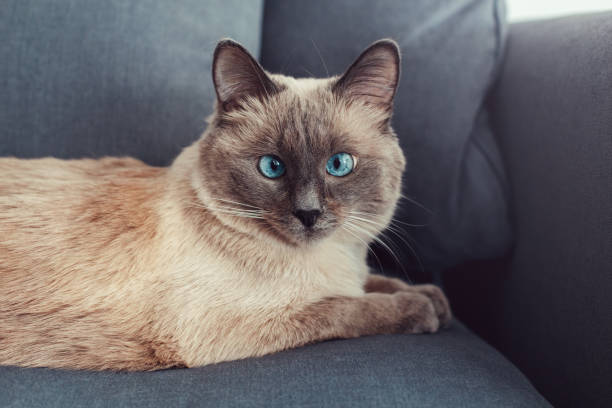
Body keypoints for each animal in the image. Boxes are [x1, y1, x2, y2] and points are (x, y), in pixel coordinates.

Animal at [0, 37, 450, 370]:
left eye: (339, 165)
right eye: (271, 167)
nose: (308, 213)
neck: (328, 259)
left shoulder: (350, 272)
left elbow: (376, 282)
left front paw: (436, 299)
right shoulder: (240, 326)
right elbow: (347, 307)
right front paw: (421, 309)